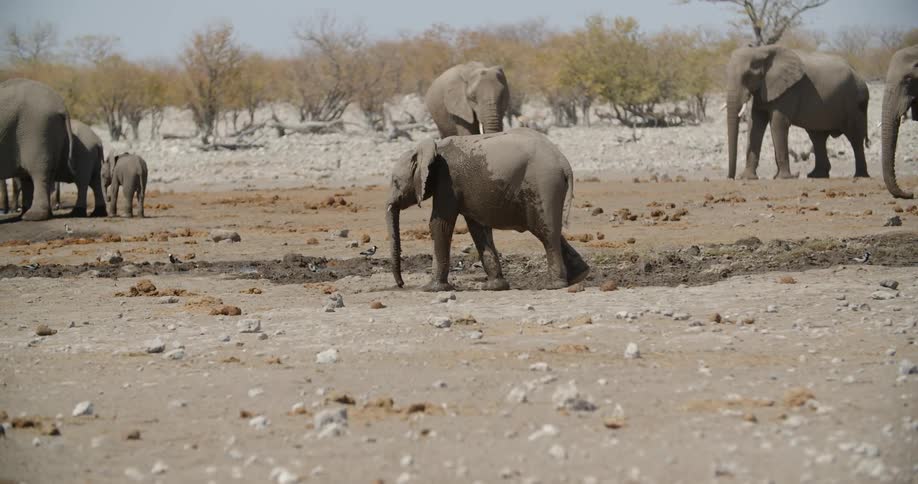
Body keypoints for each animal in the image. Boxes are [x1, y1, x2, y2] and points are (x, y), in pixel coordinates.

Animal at [0, 78, 73, 221]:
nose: (4, 212)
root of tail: (61, 104)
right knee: (28, 176)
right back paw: (24, 213)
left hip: (38, 128)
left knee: (38, 172)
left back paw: (33, 216)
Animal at [386, 127, 589, 291]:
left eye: (395, 182)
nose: (401, 284)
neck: (433, 148)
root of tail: (564, 163)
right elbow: (478, 228)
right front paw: (495, 287)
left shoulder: (447, 181)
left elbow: (439, 224)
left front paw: (430, 289)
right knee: (548, 229)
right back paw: (579, 275)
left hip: (544, 184)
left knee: (545, 232)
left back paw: (553, 285)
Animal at [725, 46, 870, 180]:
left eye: (747, 76)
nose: (730, 177)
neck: (761, 50)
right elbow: (756, 124)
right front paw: (748, 178)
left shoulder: (788, 90)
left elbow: (778, 124)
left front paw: (783, 178)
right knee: (817, 137)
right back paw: (816, 175)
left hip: (854, 103)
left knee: (855, 137)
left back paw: (860, 175)